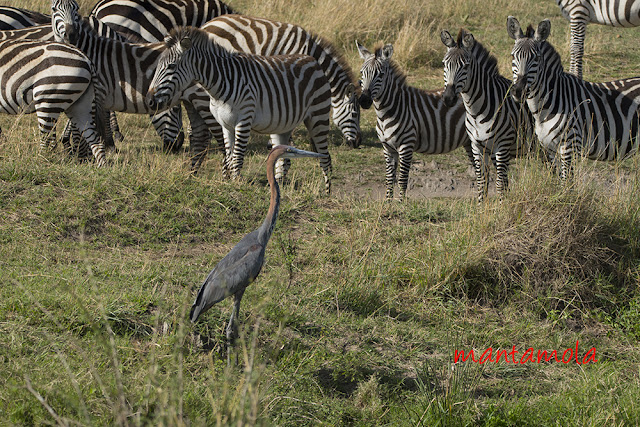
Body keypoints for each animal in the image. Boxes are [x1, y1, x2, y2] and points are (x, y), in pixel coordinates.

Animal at [0, 38, 106, 167]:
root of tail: (87, 60)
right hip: (81, 105)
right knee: (95, 140)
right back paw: (102, 168)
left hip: (47, 98)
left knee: (48, 143)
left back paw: (39, 164)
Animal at [147, 27, 332, 194]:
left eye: (171, 66)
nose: (149, 100)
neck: (220, 85)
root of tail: (312, 59)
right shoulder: (225, 125)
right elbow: (229, 158)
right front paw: (229, 183)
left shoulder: (243, 120)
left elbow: (237, 157)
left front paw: (236, 186)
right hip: (283, 126)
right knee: (283, 160)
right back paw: (278, 188)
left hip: (318, 116)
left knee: (325, 157)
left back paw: (327, 193)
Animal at [358, 41, 472, 201]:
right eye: (362, 73)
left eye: (380, 74)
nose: (364, 101)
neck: (386, 113)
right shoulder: (388, 148)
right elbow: (389, 179)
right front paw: (387, 203)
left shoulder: (406, 146)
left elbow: (402, 179)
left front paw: (400, 203)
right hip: (469, 142)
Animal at [440, 29, 536, 203]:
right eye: (444, 64)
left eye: (466, 66)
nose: (448, 98)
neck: (476, 112)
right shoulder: (477, 147)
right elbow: (482, 183)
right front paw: (481, 207)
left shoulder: (502, 146)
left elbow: (499, 184)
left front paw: (502, 207)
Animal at [508, 16, 640, 181]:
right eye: (513, 56)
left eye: (537, 58)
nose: (519, 90)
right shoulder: (550, 149)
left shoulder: (569, 146)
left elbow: (567, 183)